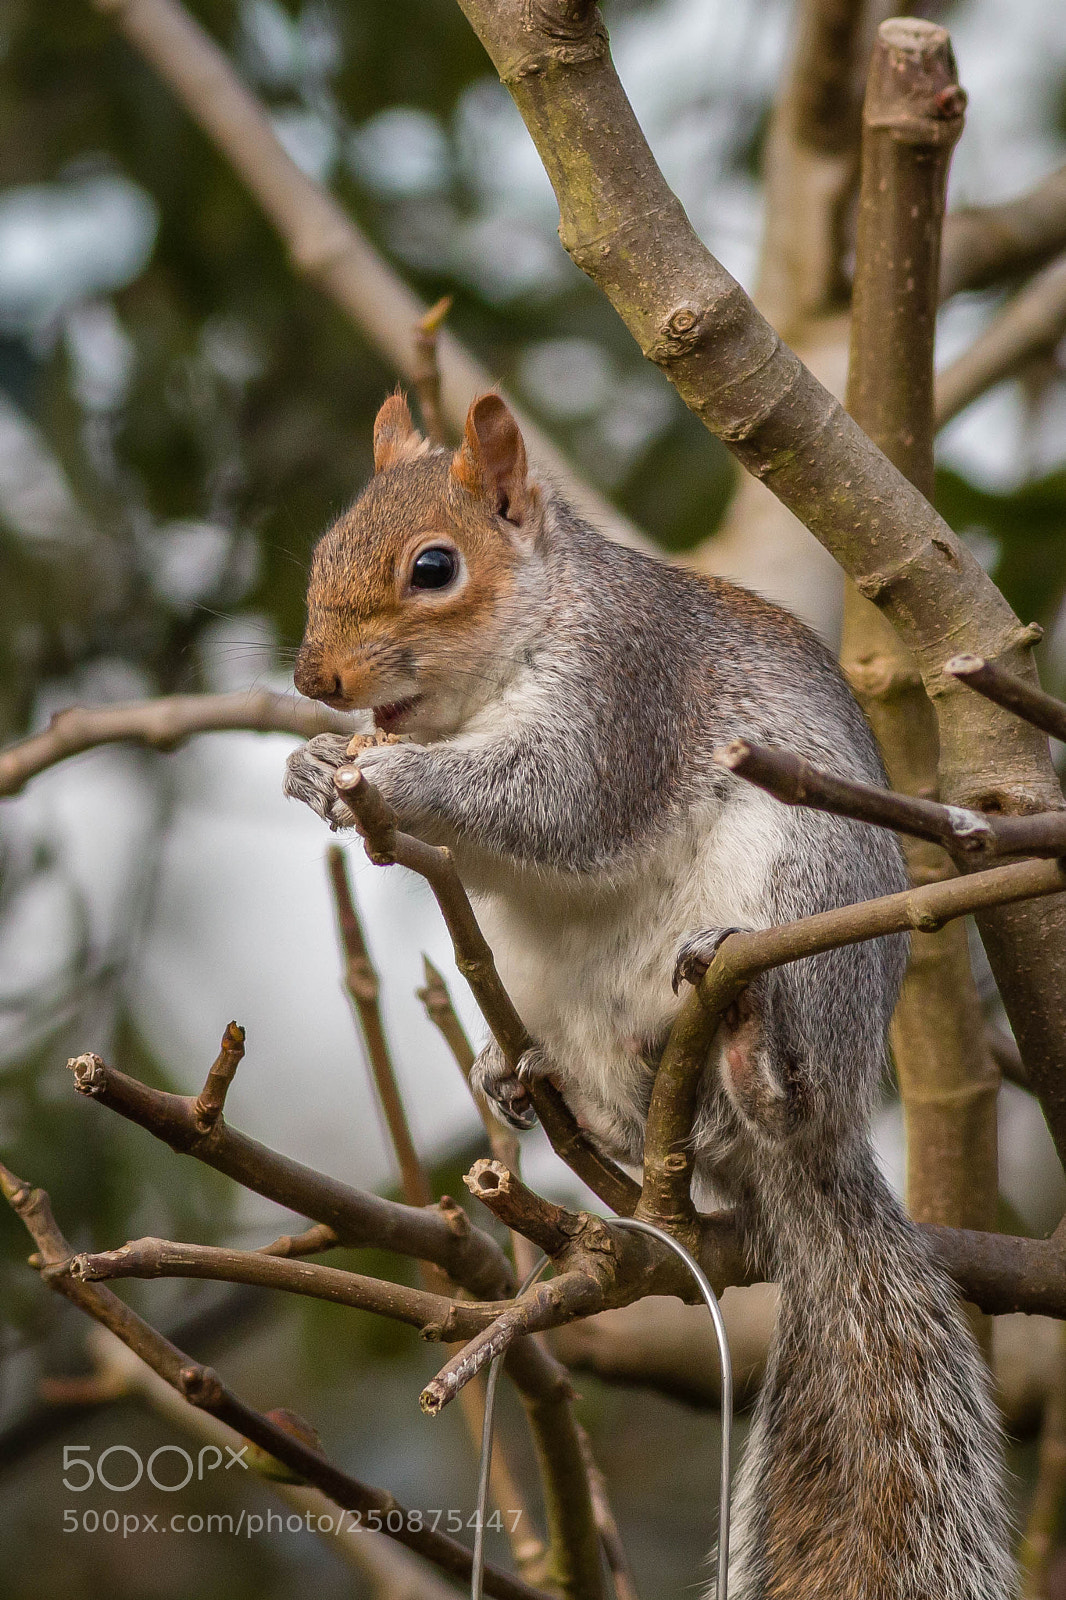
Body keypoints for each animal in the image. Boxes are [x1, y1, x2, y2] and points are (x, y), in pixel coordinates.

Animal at [284, 391, 1013, 1599]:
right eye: (320, 552)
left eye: (434, 567)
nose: (316, 683)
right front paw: (312, 768)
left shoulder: (624, 693)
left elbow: (556, 799)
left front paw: (390, 777)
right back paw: (519, 1070)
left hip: (804, 893)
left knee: (780, 1089)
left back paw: (753, 1057)